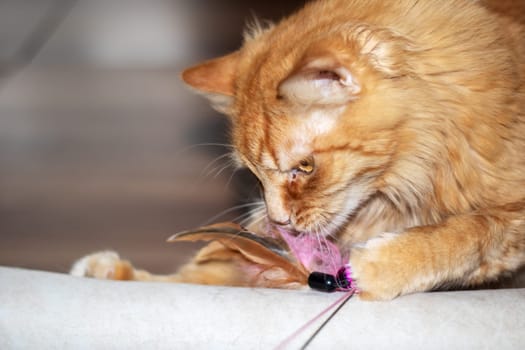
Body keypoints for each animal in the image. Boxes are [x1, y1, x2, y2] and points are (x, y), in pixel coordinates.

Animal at [72, 0, 524, 300]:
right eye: (254, 177)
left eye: (304, 168)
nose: (278, 221)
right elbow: (200, 277)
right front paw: (112, 274)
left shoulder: (511, 215)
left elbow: (471, 233)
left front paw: (383, 266)